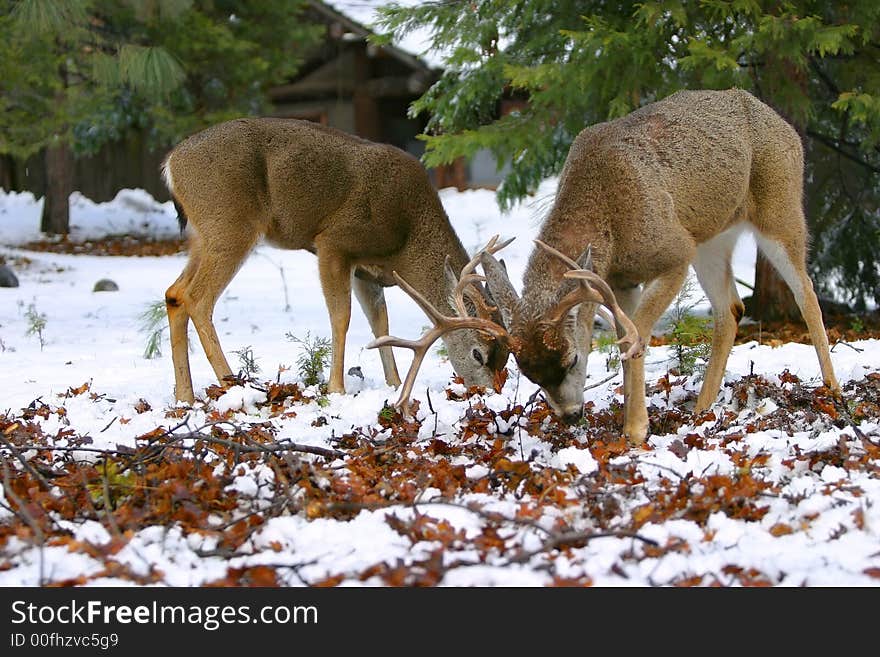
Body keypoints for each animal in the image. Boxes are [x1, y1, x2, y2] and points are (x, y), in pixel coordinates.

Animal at [160, 118, 508, 404]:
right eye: (478, 354)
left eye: (505, 359)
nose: (488, 393)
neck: (406, 239)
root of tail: (171, 163)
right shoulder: (334, 242)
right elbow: (341, 317)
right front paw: (337, 388)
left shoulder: (367, 272)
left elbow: (380, 323)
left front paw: (395, 385)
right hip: (230, 224)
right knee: (198, 298)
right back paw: (232, 386)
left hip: (203, 236)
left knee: (174, 293)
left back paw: (184, 397)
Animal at [372, 87, 840, 444]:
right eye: (532, 377)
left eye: (574, 360)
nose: (571, 416)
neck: (609, 218)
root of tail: (779, 120)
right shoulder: (620, 280)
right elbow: (623, 337)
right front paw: (632, 420)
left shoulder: (674, 252)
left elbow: (639, 336)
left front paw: (634, 431)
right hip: (711, 239)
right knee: (731, 310)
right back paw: (703, 409)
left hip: (779, 209)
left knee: (807, 293)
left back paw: (833, 392)